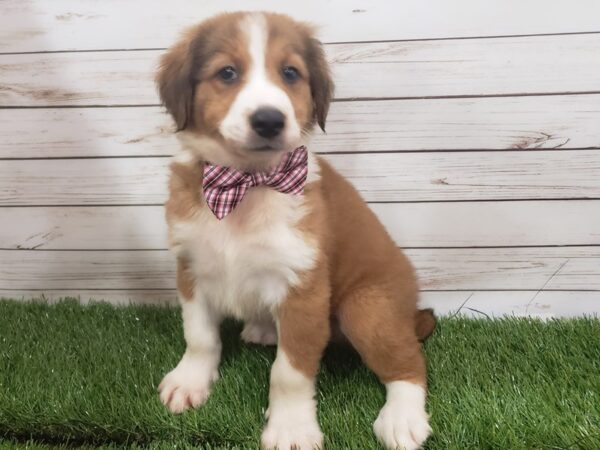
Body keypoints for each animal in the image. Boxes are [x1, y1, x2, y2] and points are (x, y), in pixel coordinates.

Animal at [155, 11, 436, 450]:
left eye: (290, 73)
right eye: (227, 72)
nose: (269, 120)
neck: (248, 185)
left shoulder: (303, 290)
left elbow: (288, 374)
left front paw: (290, 428)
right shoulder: (192, 268)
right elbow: (200, 337)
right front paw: (190, 382)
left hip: (366, 308)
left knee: (409, 361)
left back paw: (401, 419)